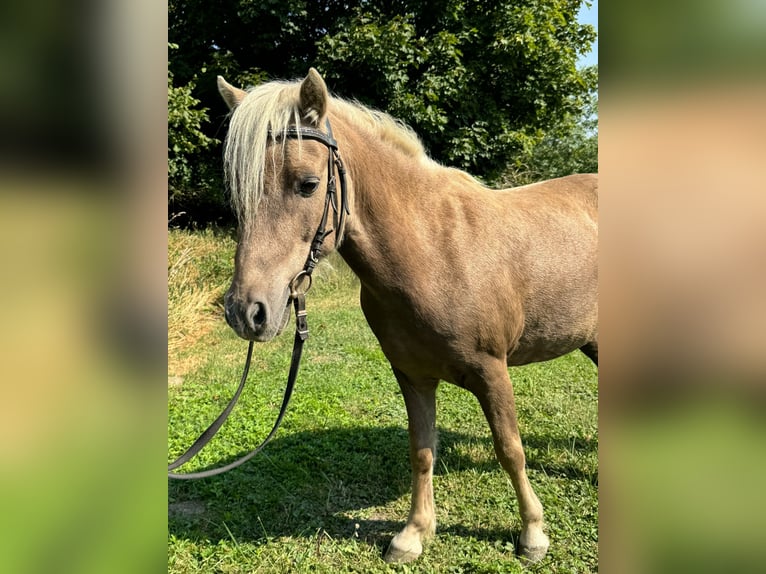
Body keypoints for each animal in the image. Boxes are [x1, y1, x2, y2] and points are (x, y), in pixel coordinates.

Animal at [216, 68, 600, 568]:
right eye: (237, 191)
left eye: (308, 184)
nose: (247, 311)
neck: (433, 250)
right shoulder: (412, 375)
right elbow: (421, 451)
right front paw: (414, 534)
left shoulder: (492, 371)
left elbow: (510, 450)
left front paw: (532, 533)